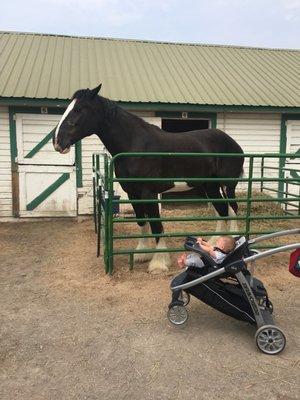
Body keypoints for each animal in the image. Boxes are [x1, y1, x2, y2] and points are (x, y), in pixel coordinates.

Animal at [52, 85, 243, 274]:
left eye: (79, 109)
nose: (57, 142)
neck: (135, 144)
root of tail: (233, 143)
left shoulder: (148, 193)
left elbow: (156, 226)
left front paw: (159, 263)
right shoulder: (132, 192)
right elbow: (142, 221)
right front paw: (141, 253)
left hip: (227, 186)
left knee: (232, 209)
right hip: (209, 186)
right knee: (222, 210)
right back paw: (213, 243)